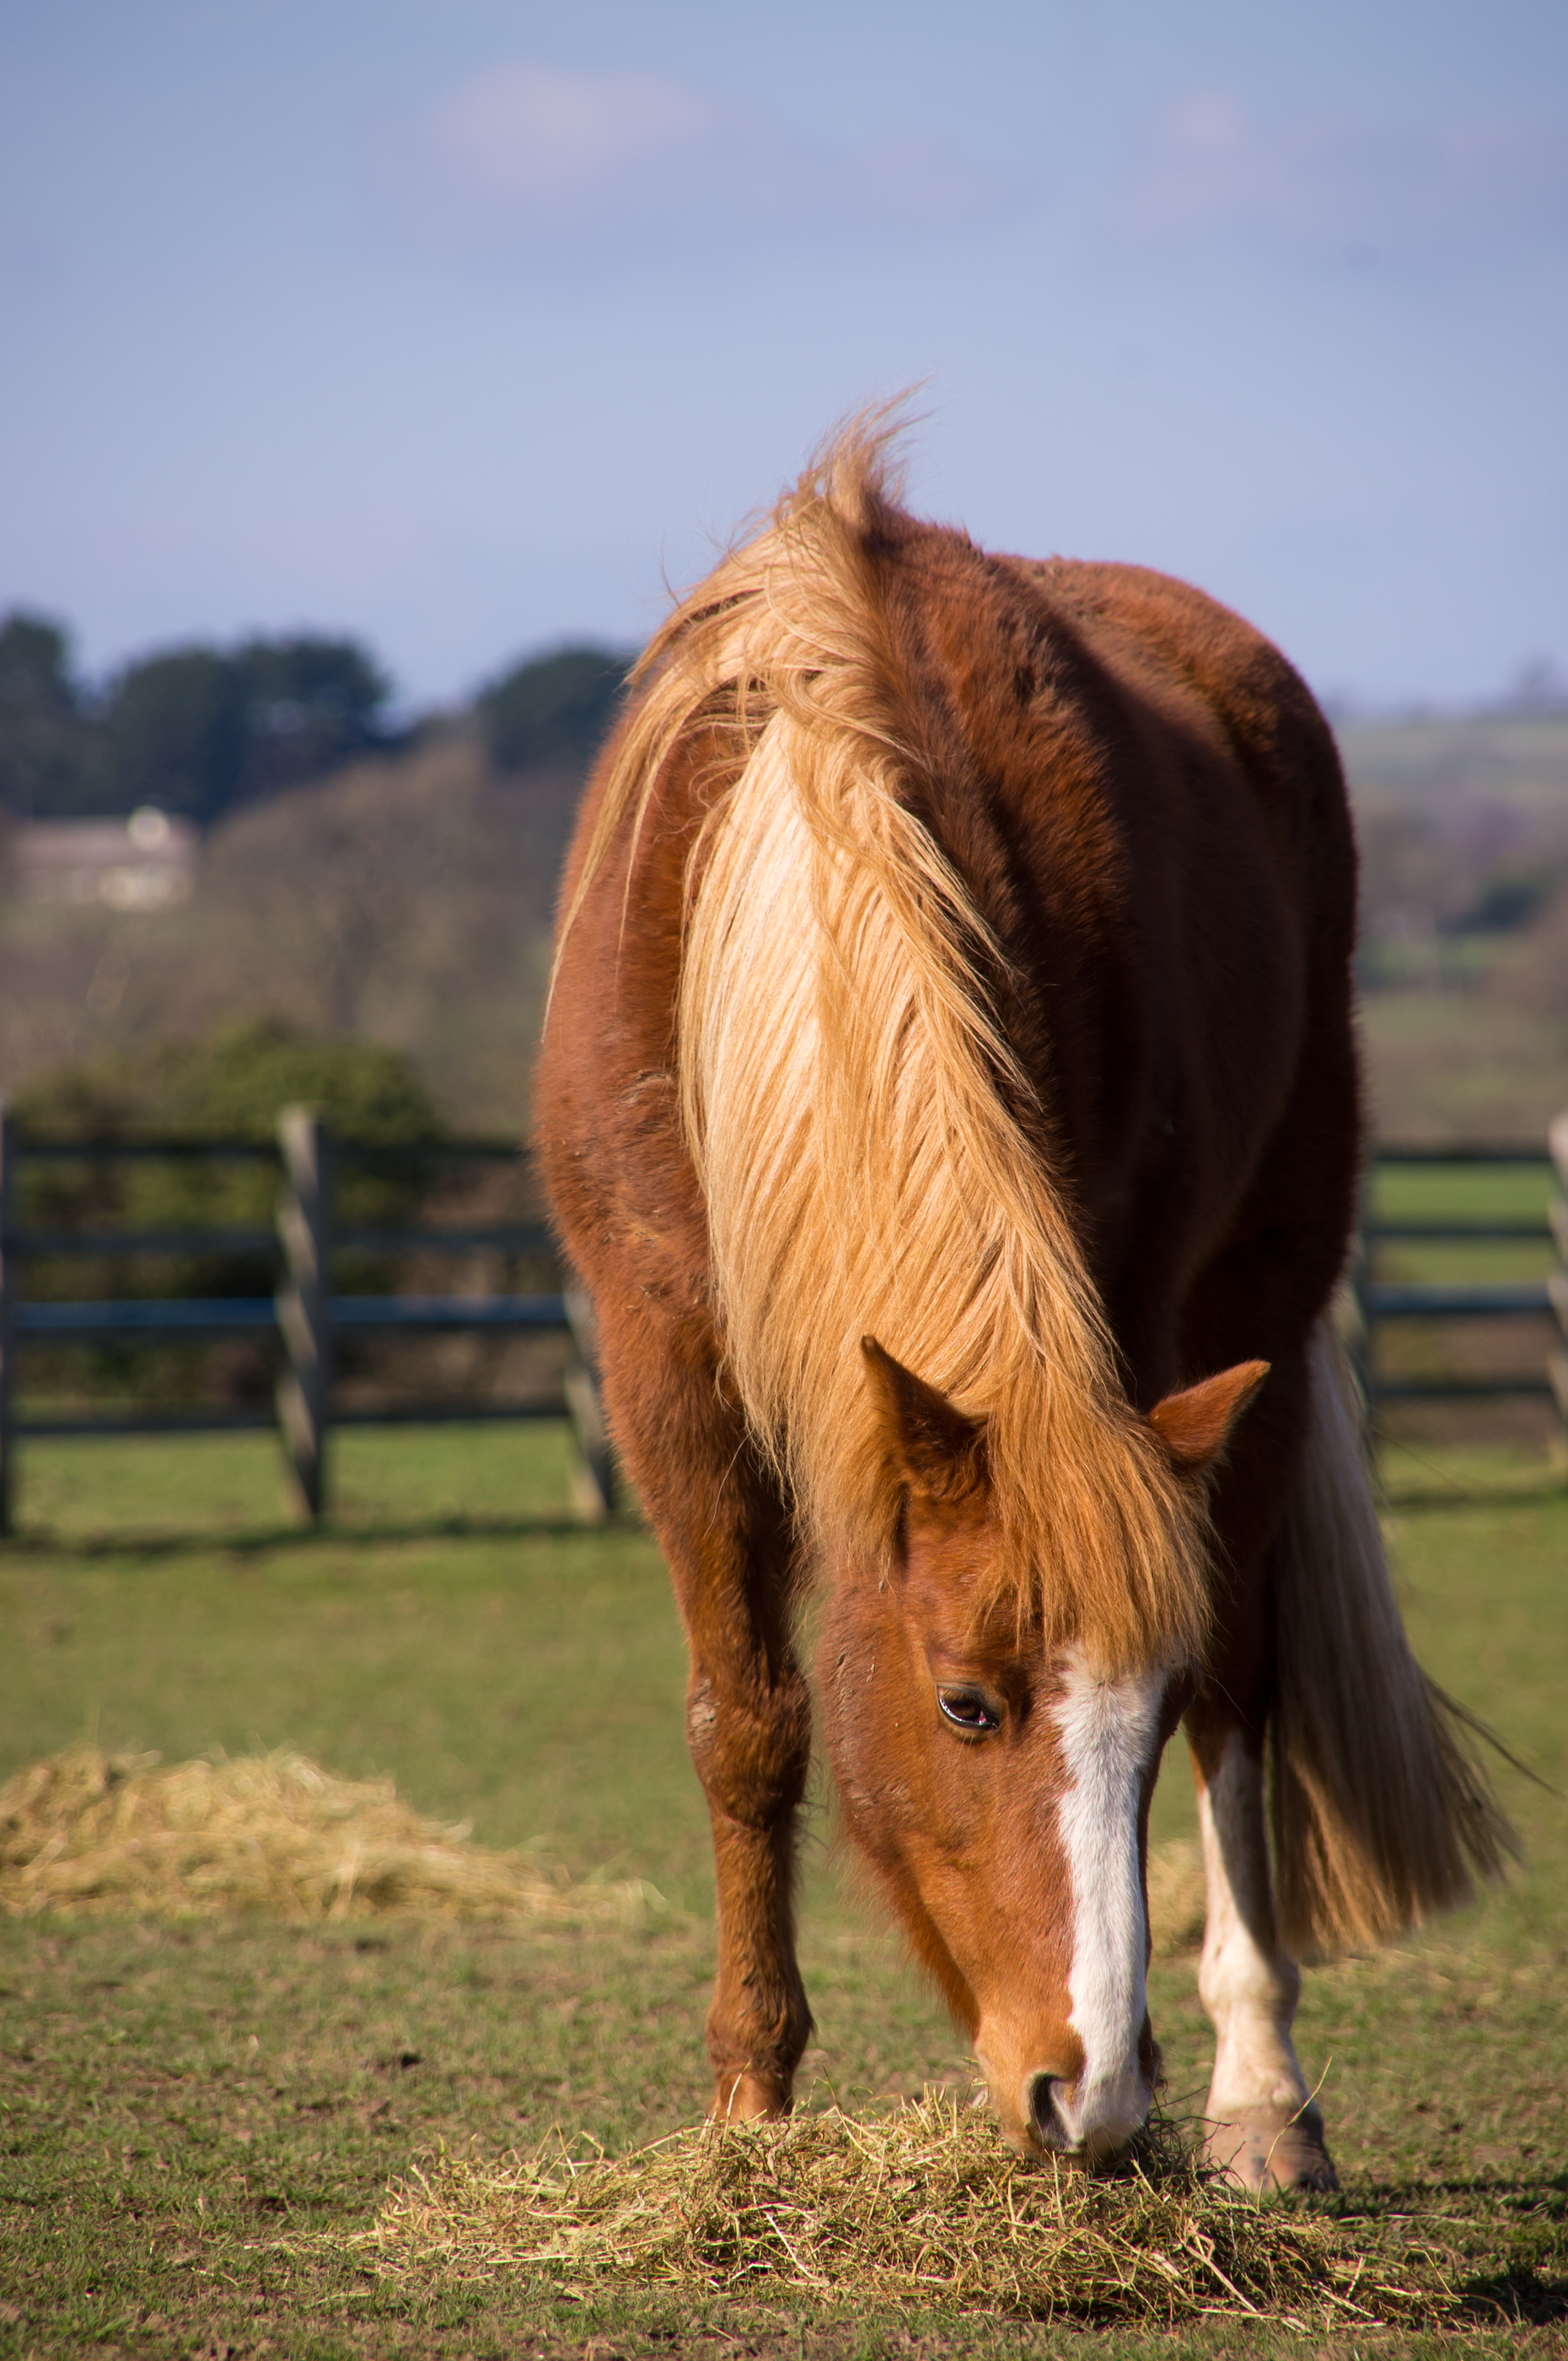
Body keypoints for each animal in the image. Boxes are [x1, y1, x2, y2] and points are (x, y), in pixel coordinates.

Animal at [534, 429, 1511, 2191]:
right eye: (966, 1705)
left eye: (1132, 1715)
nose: (1096, 2096)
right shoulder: (662, 1356)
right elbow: (747, 1720)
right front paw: (749, 2107)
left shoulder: (1124, 1327)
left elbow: (1212, 1694)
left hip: (1257, 1313)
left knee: (1249, 1680)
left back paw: (1264, 2095)